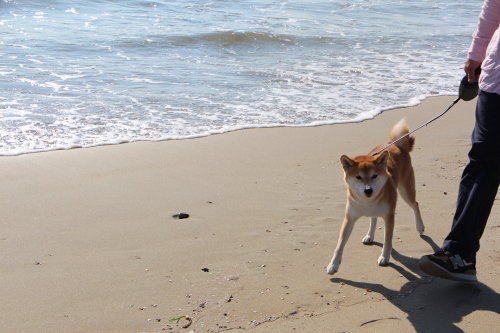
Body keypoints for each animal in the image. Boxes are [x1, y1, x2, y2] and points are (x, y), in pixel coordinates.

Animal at [326, 118, 424, 274]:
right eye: (358, 177)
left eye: (374, 176)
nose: (368, 191)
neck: (367, 202)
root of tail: (396, 144)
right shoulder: (349, 219)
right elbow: (339, 245)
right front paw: (333, 264)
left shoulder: (389, 217)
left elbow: (388, 240)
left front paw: (384, 257)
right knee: (373, 218)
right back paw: (369, 236)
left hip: (406, 191)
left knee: (415, 205)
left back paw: (420, 226)